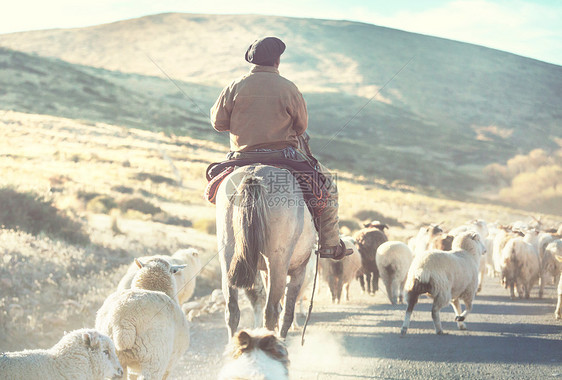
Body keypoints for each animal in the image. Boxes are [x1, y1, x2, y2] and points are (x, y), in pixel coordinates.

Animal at [217, 164, 318, 338]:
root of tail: (253, 175)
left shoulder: (264, 272)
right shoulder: (298, 271)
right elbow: (287, 314)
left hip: (227, 256)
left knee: (232, 310)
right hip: (278, 263)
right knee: (271, 311)